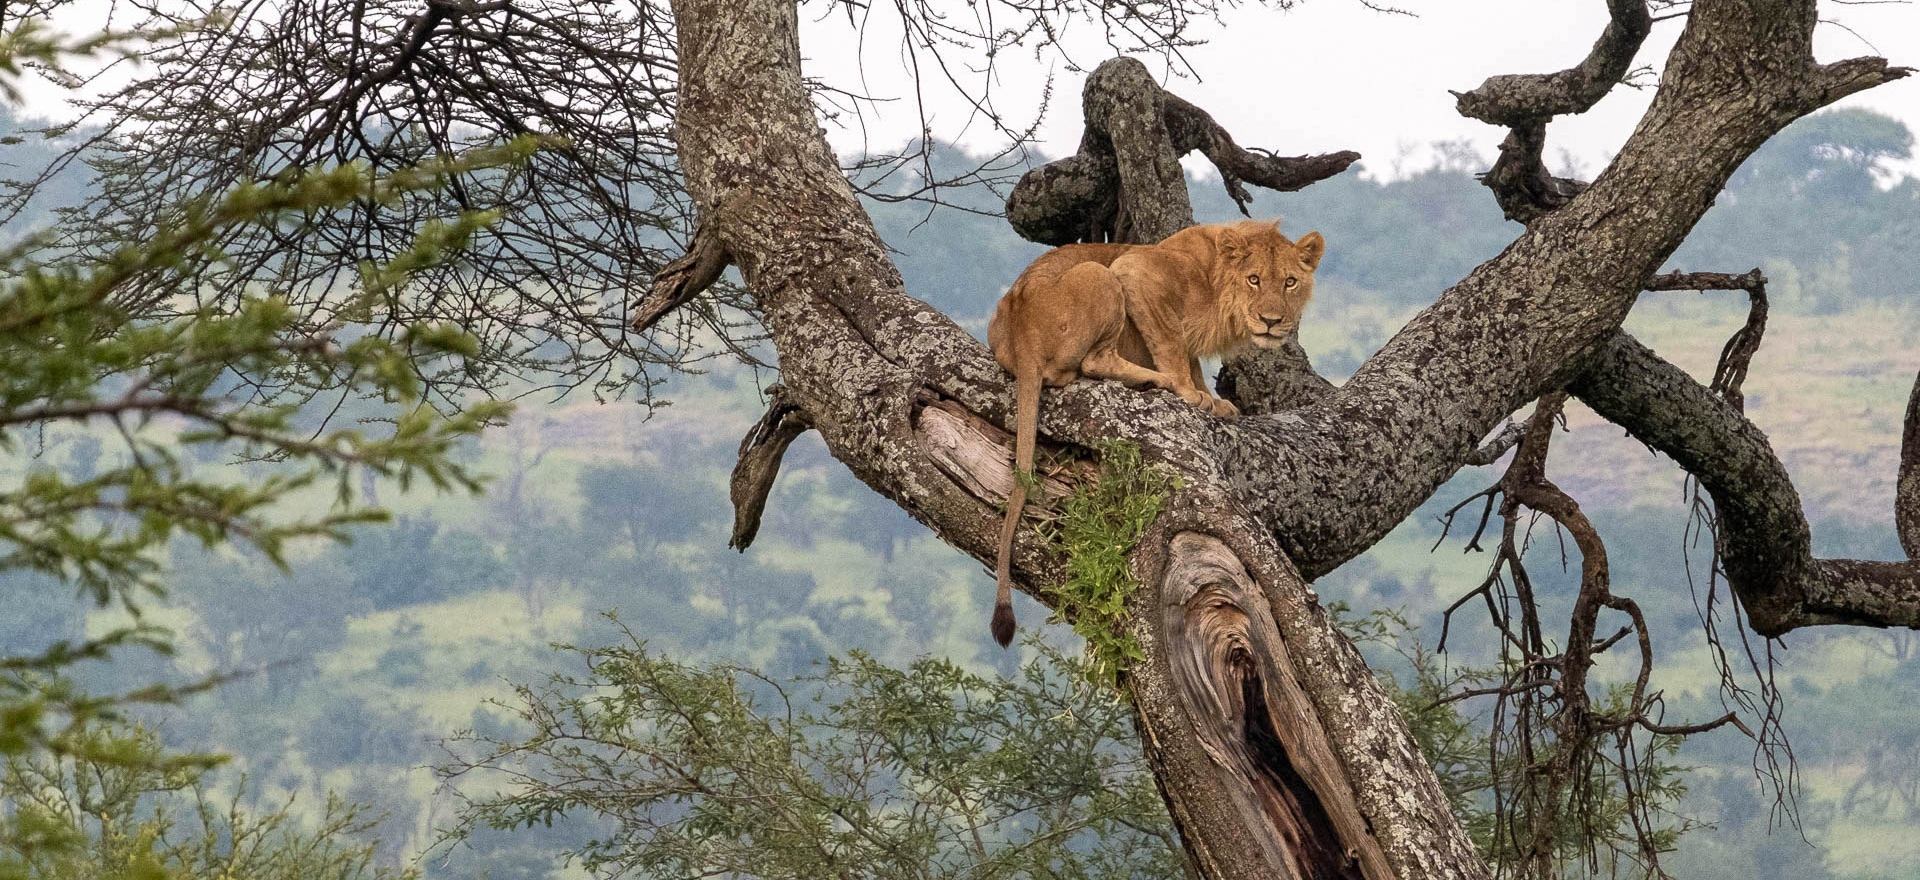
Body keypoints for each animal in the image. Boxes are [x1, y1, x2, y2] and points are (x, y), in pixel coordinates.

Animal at [990, 220, 1320, 645]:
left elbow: (1192, 358)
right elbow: (1173, 345)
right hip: (1100, 275)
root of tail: (1021, 331)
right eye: (1254, 279)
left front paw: (1213, 400)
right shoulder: (1138, 271)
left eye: (1290, 282)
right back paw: (1155, 380)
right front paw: (1189, 392)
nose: (1271, 320)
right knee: (1092, 363)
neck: (1218, 281)